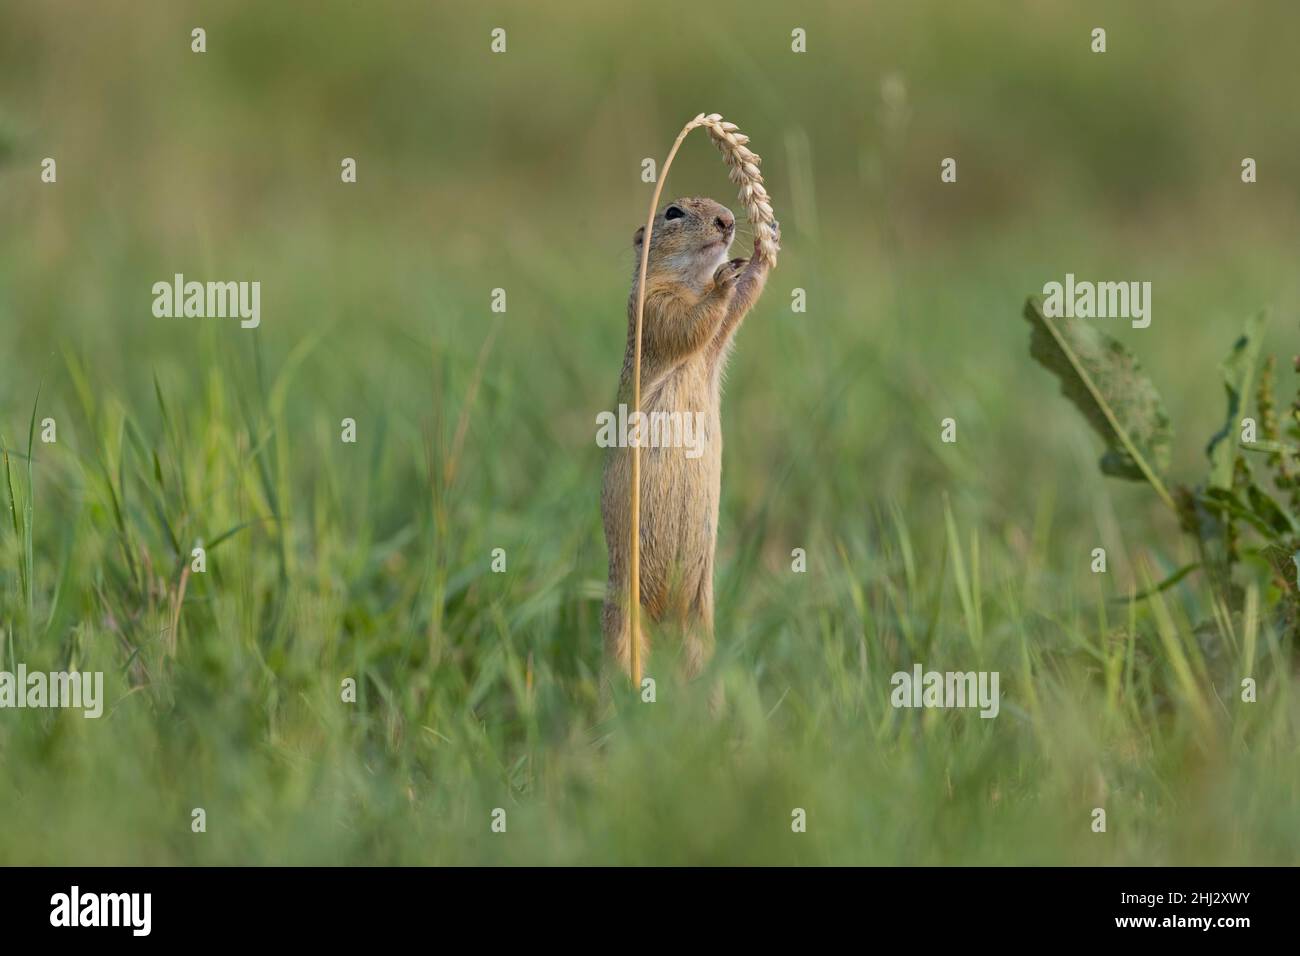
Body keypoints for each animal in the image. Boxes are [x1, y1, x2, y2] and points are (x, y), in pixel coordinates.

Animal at [603, 197, 774, 686]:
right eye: (673, 212)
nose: (729, 220)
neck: (691, 279)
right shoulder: (652, 305)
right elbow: (687, 322)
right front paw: (724, 278)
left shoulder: (715, 340)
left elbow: (731, 312)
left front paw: (761, 248)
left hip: (701, 623)